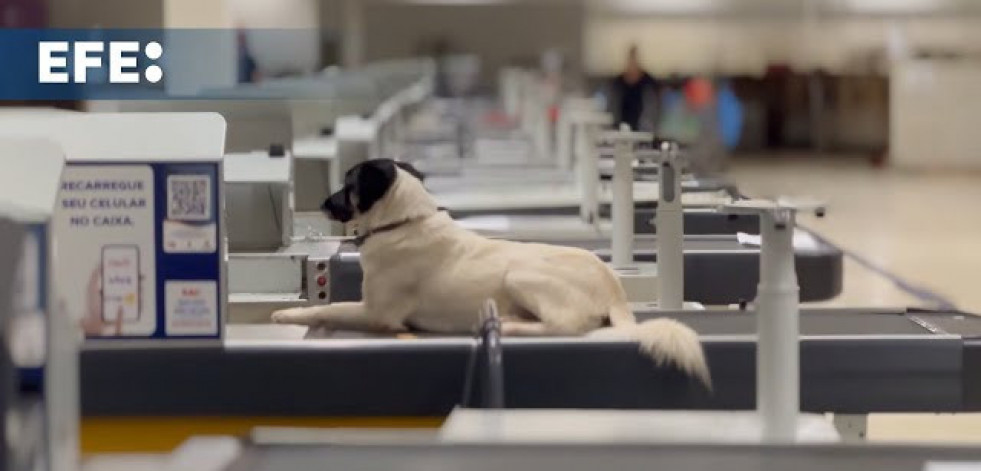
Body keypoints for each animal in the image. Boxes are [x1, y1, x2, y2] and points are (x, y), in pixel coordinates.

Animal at [272, 159, 708, 388]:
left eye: (348, 184)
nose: (321, 203)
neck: (402, 223)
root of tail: (613, 286)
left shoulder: (377, 314)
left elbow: (325, 308)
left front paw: (286, 314)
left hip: (520, 275)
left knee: (568, 326)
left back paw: (511, 325)